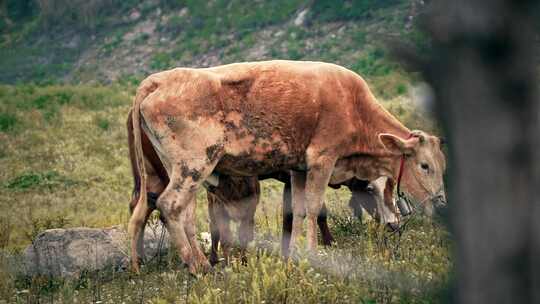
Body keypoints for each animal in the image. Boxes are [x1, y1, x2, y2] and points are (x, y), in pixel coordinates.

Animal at [129, 60, 446, 274]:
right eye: (424, 165)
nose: (441, 204)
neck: (353, 104)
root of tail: (158, 80)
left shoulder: (298, 169)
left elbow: (297, 210)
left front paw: (293, 252)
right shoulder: (322, 159)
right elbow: (315, 208)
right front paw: (314, 251)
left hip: (169, 173)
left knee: (163, 212)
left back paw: (151, 265)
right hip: (192, 167)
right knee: (171, 206)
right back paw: (198, 266)